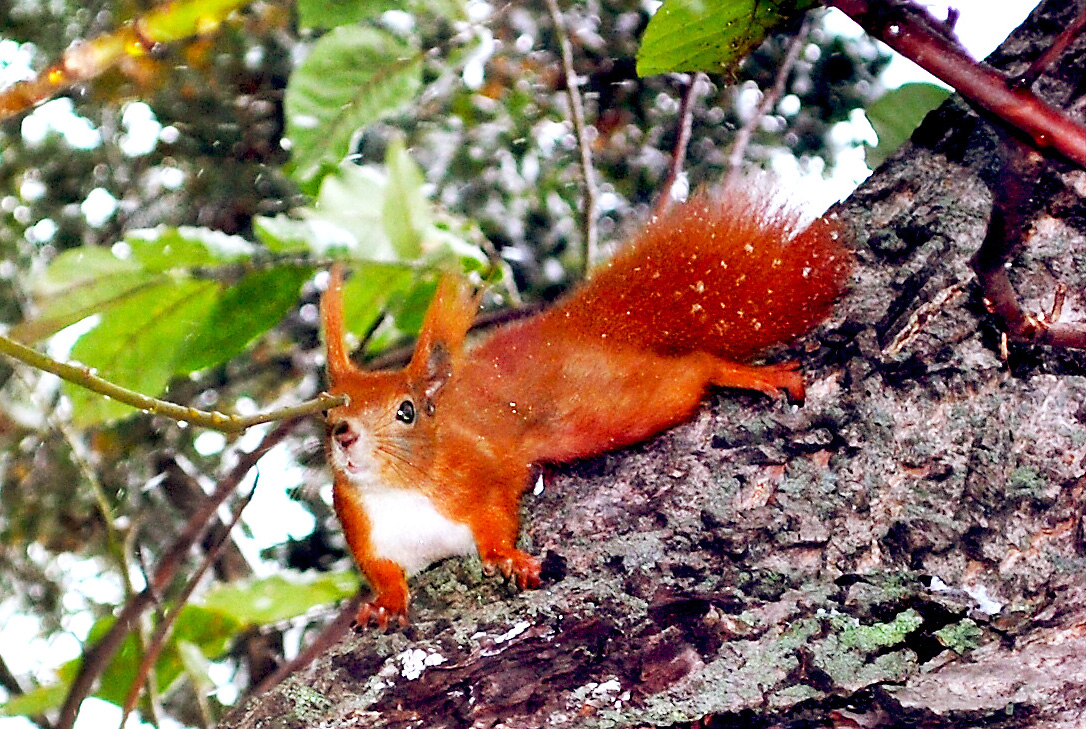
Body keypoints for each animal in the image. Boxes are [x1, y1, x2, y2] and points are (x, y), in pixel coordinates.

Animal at [319, 190, 847, 625]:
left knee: (692, 371)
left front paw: (508, 558)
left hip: (609, 405)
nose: (345, 434)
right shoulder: (365, 532)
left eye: (406, 411)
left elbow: (496, 520)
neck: (396, 490)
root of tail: (573, 330)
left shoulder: (478, 477)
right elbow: (384, 575)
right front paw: (384, 604)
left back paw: (749, 374)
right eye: (327, 414)